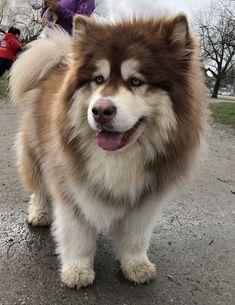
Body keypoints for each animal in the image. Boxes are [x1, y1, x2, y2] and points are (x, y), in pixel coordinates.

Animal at [9, 14, 206, 288]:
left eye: (136, 81)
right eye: (98, 79)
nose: (101, 110)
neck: (119, 158)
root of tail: (57, 65)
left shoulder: (147, 193)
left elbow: (136, 235)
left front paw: (136, 265)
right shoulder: (72, 184)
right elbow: (77, 232)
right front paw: (78, 269)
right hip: (33, 153)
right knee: (38, 188)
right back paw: (40, 213)